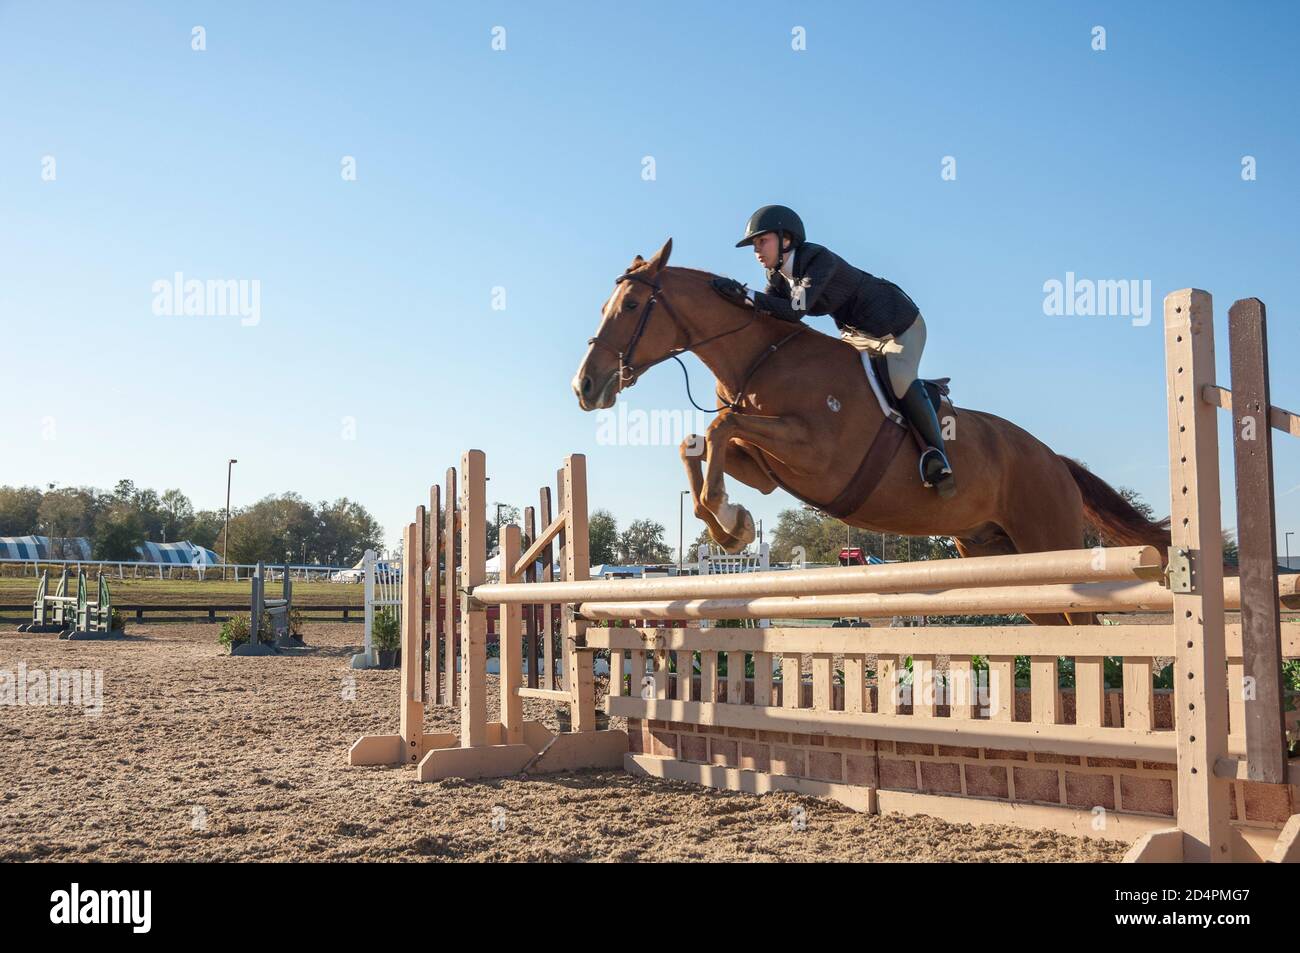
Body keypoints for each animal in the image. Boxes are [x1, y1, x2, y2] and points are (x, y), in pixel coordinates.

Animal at [569, 237, 1170, 579]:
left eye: (630, 305)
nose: (585, 387)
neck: (763, 357)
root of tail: (1055, 461)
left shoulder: (819, 455)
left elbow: (721, 425)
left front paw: (727, 518)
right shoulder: (767, 468)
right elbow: (698, 440)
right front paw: (729, 526)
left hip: (1050, 537)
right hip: (993, 551)